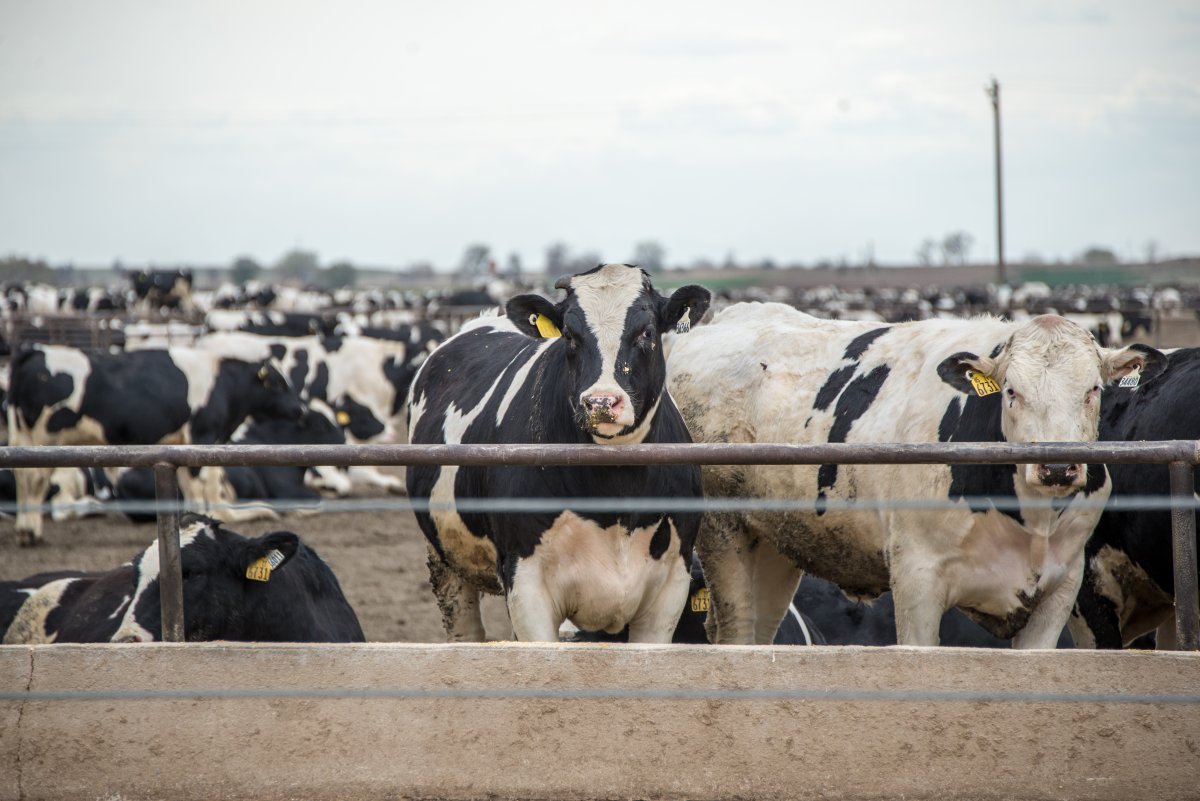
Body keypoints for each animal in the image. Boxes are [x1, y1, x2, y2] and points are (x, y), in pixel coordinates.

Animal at [7, 345, 304, 544]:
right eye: (278, 383)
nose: (299, 409)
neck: (223, 381)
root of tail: (35, 352)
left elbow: (191, 485)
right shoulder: (202, 435)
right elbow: (199, 484)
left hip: (23, 436)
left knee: (23, 477)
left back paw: (24, 530)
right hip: (45, 438)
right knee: (36, 478)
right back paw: (31, 531)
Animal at [408, 262, 705, 642]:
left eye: (648, 332)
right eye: (569, 335)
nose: (601, 403)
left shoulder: (671, 587)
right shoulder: (525, 585)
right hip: (445, 561)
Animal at [667, 303, 1161, 647]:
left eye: (1093, 390)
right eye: (1011, 391)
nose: (1057, 465)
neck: (1028, 519)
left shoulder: (1061, 591)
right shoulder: (916, 580)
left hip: (776, 542)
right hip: (724, 533)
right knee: (737, 629)